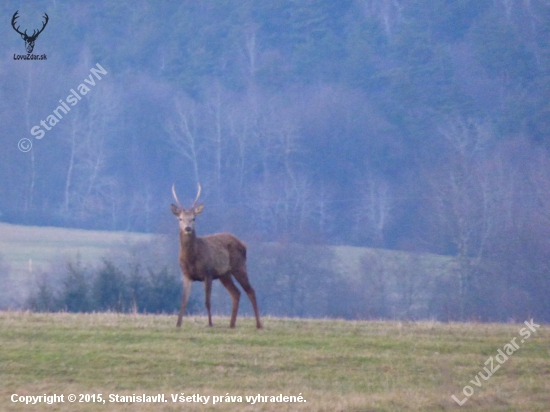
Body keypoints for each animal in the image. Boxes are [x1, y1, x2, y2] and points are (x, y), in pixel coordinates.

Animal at [170, 183, 264, 328]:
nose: (187, 228)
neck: (192, 257)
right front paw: (178, 324)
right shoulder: (186, 274)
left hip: (239, 267)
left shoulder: (208, 272)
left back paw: (258, 325)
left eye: (193, 218)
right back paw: (231, 324)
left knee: (250, 291)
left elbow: (207, 301)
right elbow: (183, 301)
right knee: (236, 293)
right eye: (180, 218)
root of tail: (243, 244)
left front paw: (210, 324)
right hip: (224, 274)